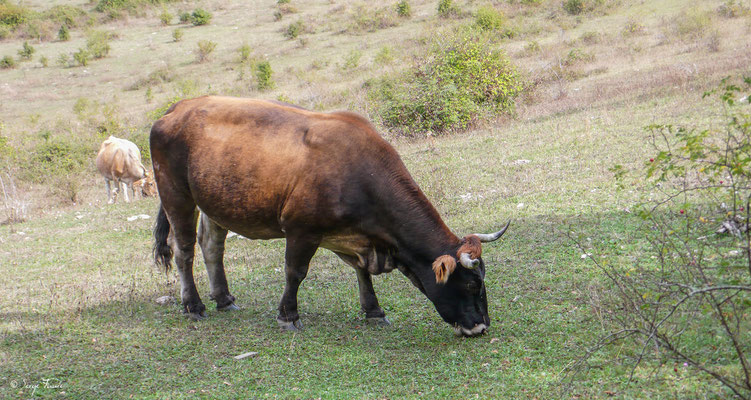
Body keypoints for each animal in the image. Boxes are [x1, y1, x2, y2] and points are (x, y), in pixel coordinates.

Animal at [150, 97, 508, 338]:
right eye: (472, 284)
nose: (481, 326)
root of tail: (174, 109)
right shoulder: (301, 230)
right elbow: (295, 272)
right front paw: (288, 315)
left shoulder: (351, 236)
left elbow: (361, 273)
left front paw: (373, 310)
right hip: (176, 196)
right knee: (183, 250)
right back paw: (194, 305)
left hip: (216, 202)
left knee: (212, 247)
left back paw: (224, 298)